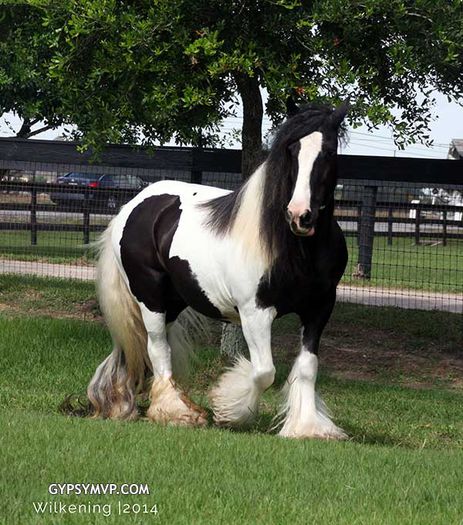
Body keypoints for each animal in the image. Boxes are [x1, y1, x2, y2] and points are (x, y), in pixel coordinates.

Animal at [88, 101, 348, 438]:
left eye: (328, 151)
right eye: (291, 150)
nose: (299, 215)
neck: (297, 249)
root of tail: (132, 208)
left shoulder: (319, 309)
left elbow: (306, 368)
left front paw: (307, 428)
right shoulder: (255, 313)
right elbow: (264, 372)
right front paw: (230, 410)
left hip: (173, 302)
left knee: (141, 350)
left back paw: (123, 404)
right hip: (150, 298)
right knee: (158, 350)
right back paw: (177, 413)